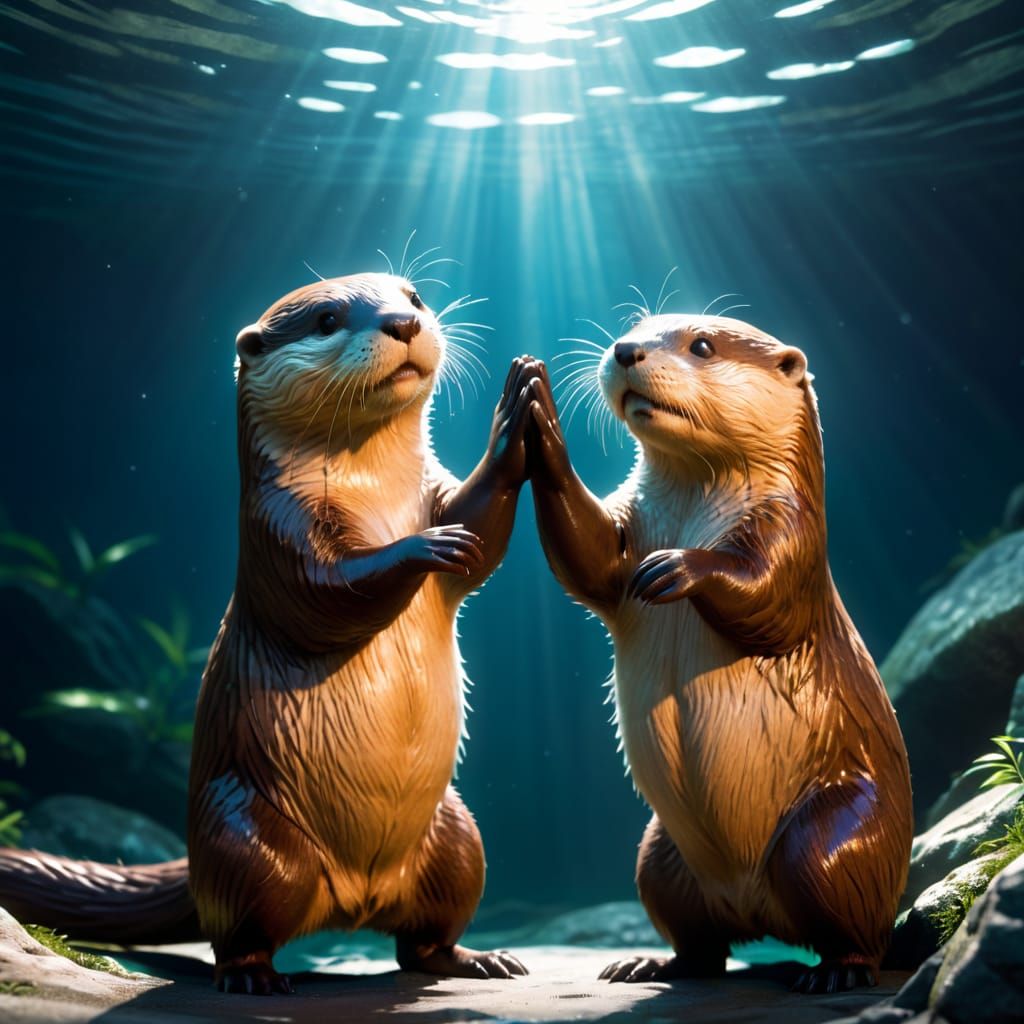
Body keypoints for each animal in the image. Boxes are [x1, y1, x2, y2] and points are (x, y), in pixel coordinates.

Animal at [0, 273, 542, 994]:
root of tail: (356, 898)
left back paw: (475, 959)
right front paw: (421, 546)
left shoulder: (437, 493)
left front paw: (520, 413)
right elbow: (326, 592)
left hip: (454, 835)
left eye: (414, 297)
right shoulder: (277, 529)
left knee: (423, 938)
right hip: (247, 841)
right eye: (328, 318)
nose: (402, 322)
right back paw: (254, 975)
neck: (377, 498)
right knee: (239, 929)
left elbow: (480, 531)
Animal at [525, 314, 913, 993]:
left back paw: (835, 973)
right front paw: (535, 414)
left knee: (858, 925)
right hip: (660, 856)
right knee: (700, 943)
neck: (691, 515)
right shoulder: (630, 527)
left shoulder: (792, 536)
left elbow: (767, 599)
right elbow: (589, 556)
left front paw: (680, 566)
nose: (626, 350)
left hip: (831, 839)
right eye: (637, 327)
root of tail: (755, 906)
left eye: (701, 344)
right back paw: (648, 963)